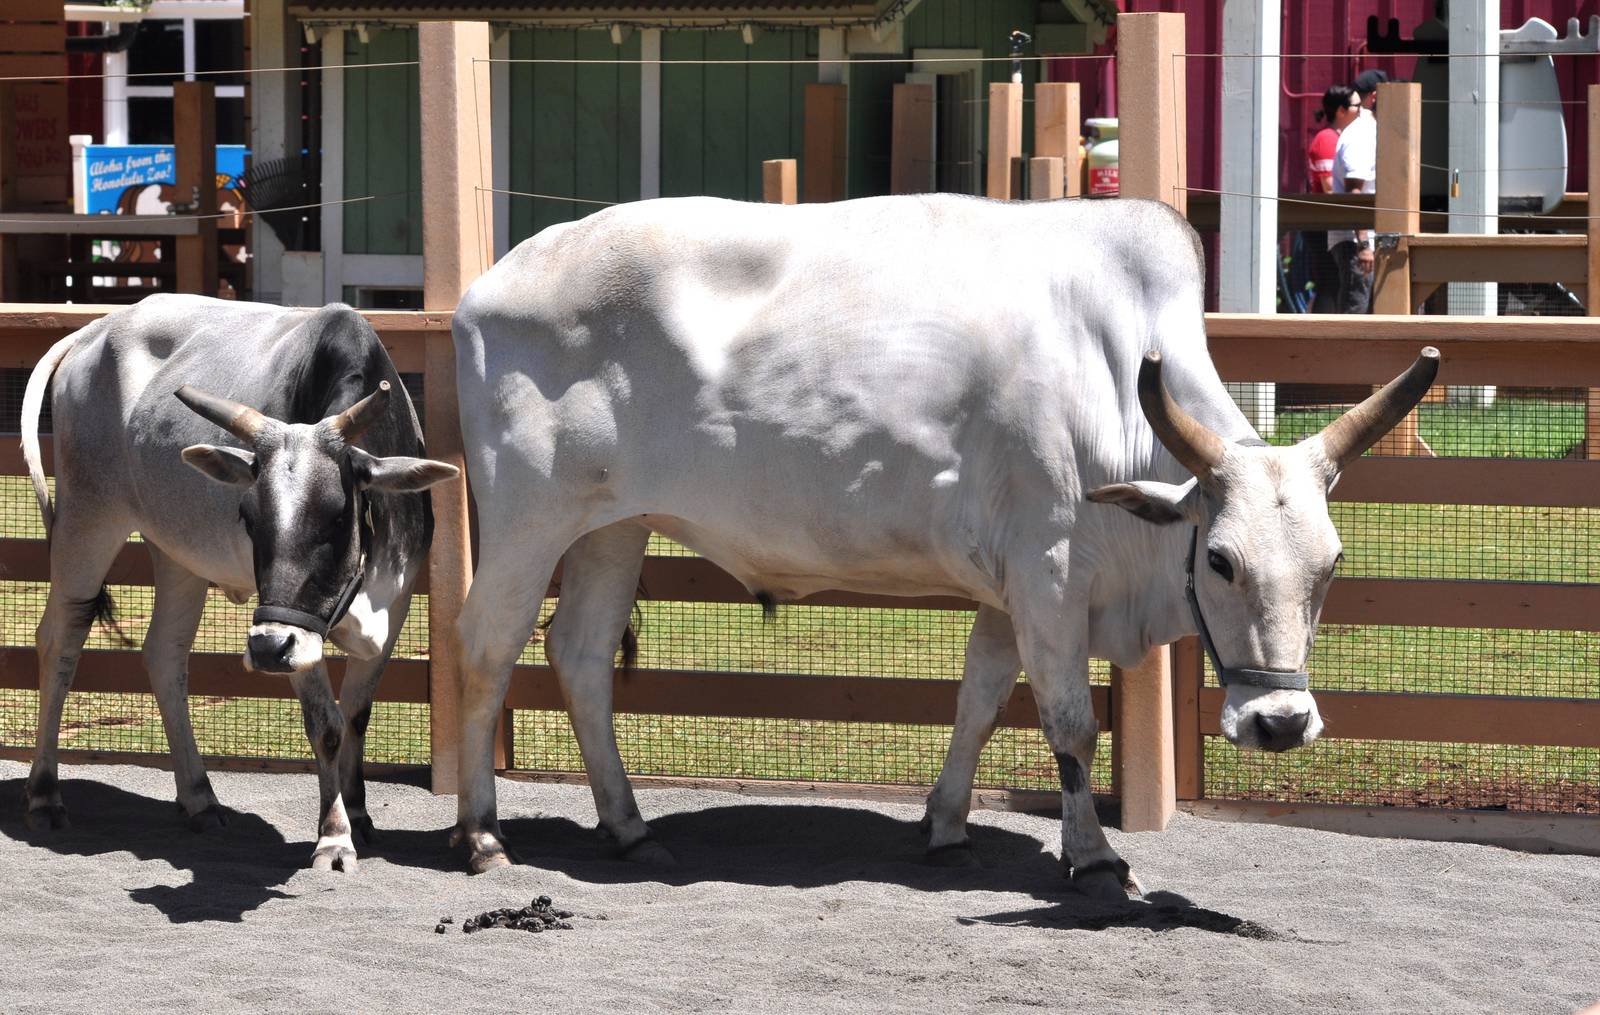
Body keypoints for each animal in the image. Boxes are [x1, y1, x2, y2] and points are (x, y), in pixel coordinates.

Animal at [20, 294, 457, 872]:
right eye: (248, 517)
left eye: (338, 515)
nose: (268, 650)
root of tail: (96, 329)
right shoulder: (294, 633)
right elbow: (327, 725)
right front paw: (334, 837)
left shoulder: (396, 605)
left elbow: (357, 717)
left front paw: (360, 816)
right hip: (88, 519)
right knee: (61, 639)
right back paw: (44, 795)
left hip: (177, 552)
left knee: (165, 654)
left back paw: (199, 798)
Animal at [447, 194, 1437, 897]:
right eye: (1221, 558)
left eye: (1332, 564)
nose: (1281, 723)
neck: (1112, 377)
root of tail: (491, 282)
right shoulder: (1049, 573)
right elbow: (1069, 724)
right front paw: (1093, 855)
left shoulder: (1011, 591)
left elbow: (980, 699)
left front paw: (947, 826)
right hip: (528, 521)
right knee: (484, 650)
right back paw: (482, 834)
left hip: (611, 526)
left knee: (579, 654)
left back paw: (628, 826)